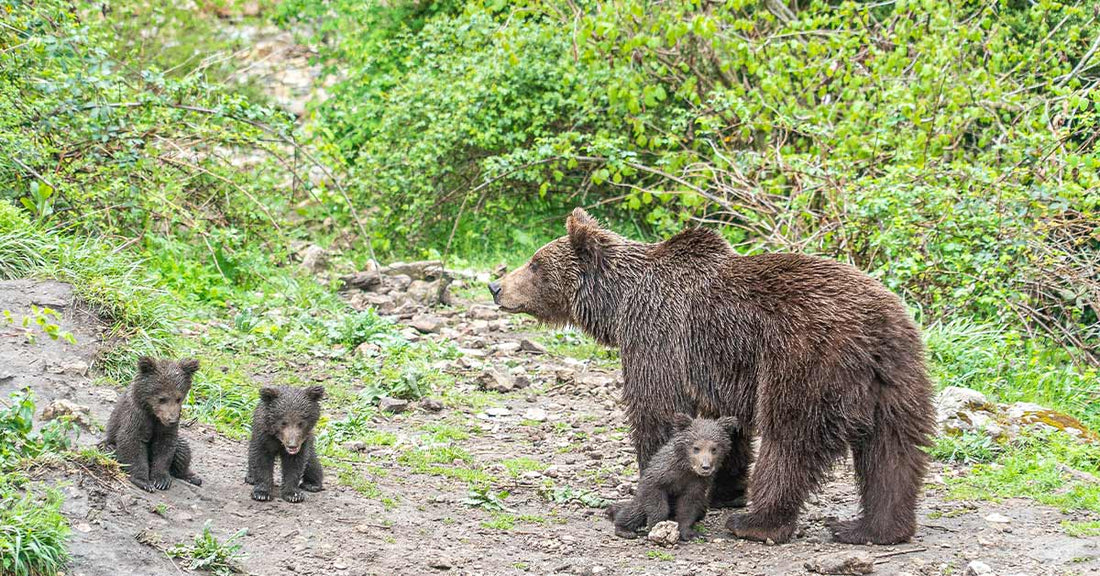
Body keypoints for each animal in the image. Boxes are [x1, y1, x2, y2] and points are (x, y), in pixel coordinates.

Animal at [103, 356, 203, 492]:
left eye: (179, 398)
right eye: (162, 399)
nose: (171, 419)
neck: (152, 413)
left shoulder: (164, 427)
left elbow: (165, 446)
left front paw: (161, 480)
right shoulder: (136, 416)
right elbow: (132, 442)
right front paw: (143, 481)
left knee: (182, 448)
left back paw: (192, 477)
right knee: (110, 449)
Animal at [607, 413, 740, 541]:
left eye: (714, 449)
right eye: (696, 448)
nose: (705, 467)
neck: (687, 469)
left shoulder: (696, 483)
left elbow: (688, 507)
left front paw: (690, 534)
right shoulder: (662, 474)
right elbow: (656, 499)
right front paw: (657, 527)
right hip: (641, 499)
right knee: (634, 511)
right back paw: (624, 529)